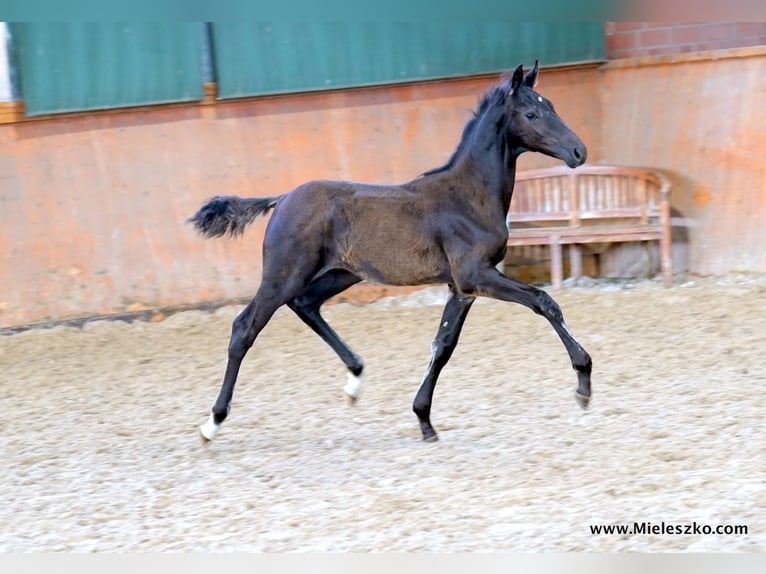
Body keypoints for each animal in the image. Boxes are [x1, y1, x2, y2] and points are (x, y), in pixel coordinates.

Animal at [188, 62, 592, 446]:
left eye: (551, 106)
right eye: (531, 114)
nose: (579, 151)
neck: (468, 196)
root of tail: (283, 198)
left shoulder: (462, 288)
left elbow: (443, 345)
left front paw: (424, 420)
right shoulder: (475, 275)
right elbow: (544, 301)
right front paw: (583, 382)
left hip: (341, 273)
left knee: (305, 304)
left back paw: (354, 381)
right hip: (284, 274)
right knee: (245, 327)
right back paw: (212, 423)